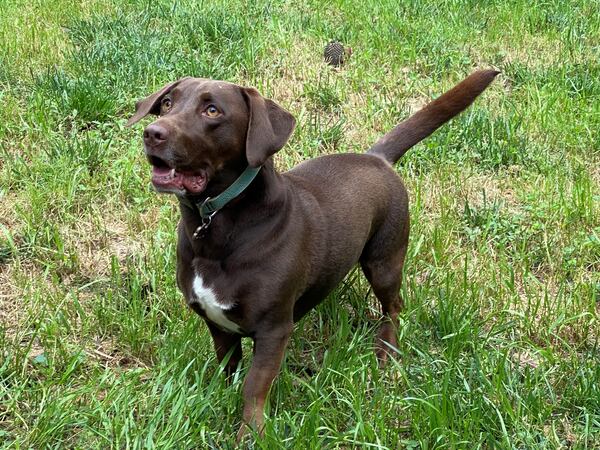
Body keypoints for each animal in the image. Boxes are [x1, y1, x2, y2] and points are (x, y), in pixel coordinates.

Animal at [129, 70, 500, 440]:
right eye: (167, 103)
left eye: (212, 110)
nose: (152, 133)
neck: (217, 227)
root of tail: (376, 158)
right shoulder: (217, 323)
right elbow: (229, 368)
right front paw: (222, 400)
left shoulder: (274, 329)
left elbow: (254, 385)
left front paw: (250, 433)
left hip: (385, 260)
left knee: (393, 306)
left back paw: (387, 352)